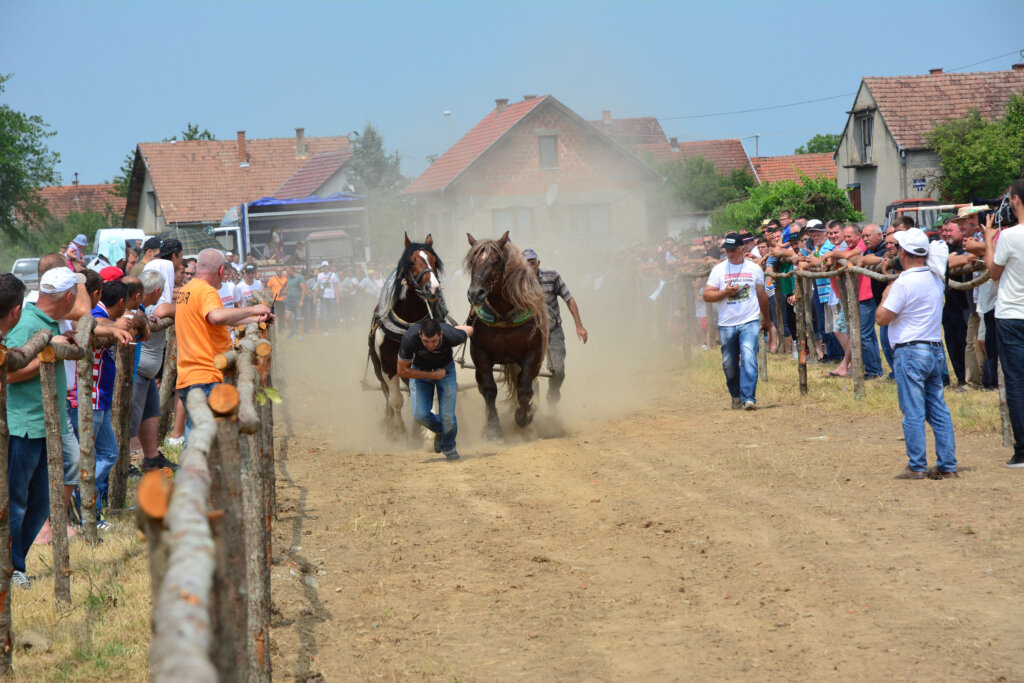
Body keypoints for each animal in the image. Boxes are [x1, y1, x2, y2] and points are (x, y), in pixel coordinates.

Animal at [370, 233, 446, 438]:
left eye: (435, 261)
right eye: (411, 262)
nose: (433, 288)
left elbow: (429, 394)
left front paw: (428, 433)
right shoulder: (389, 366)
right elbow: (396, 399)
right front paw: (399, 431)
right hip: (377, 367)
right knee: (385, 392)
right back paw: (388, 421)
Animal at [464, 232, 548, 440]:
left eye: (495, 262)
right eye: (473, 261)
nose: (475, 294)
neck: (503, 315)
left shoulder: (532, 353)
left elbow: (525, 390)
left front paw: (524, 417)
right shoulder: (479, 353)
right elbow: (488, 389)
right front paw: (493, 428)